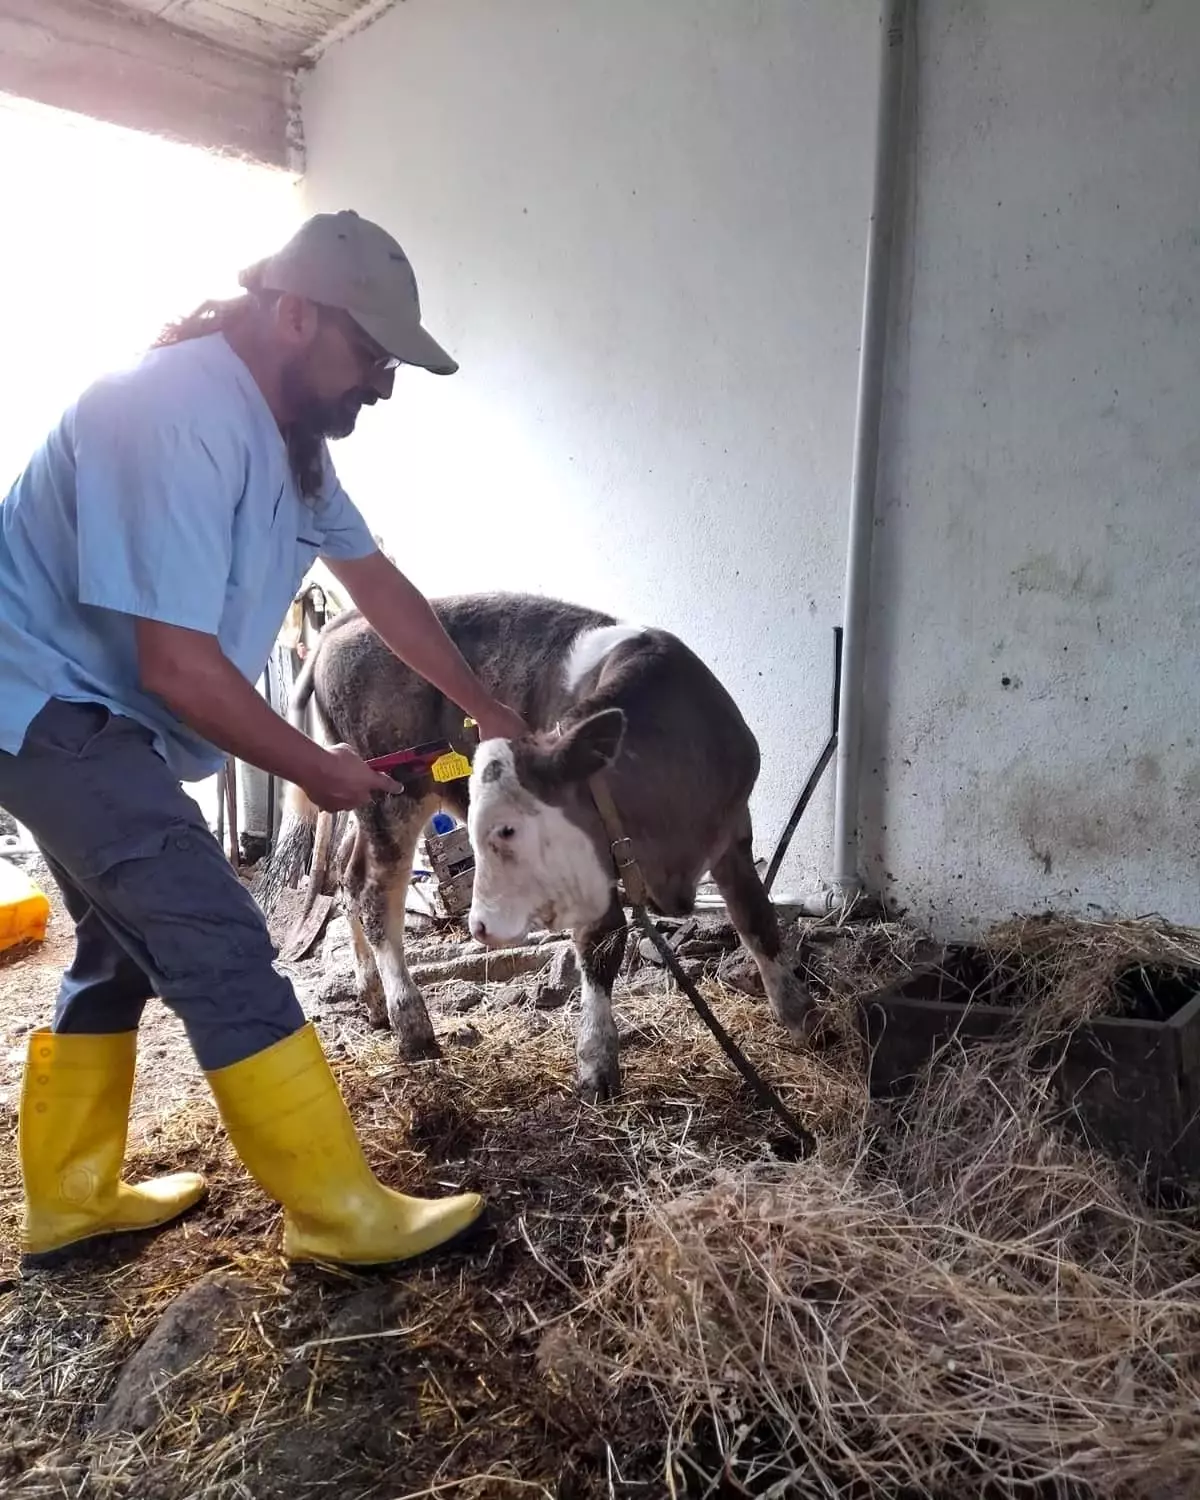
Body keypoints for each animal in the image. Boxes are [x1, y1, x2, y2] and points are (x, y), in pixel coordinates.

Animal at [286, 591, 816, 1098]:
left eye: (508, 830)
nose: (479, 926)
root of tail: (340, 624)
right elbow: (601, 947)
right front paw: (597, 1063)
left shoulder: (735, 831)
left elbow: (757, 919)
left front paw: (800, 1014)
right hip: (393, 798)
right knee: (376, 896)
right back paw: (411, 1023)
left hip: (369, 794)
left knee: (349, 878)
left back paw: (373, 997)